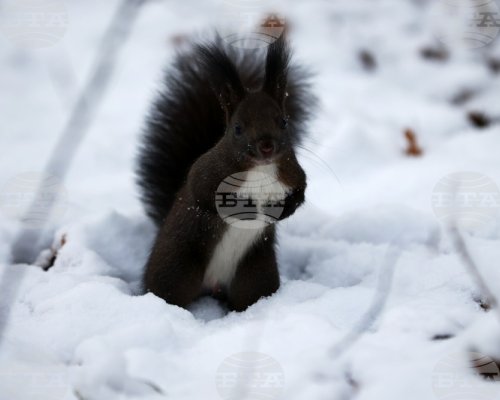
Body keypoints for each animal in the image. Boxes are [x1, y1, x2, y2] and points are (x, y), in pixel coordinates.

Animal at [136, 34, 316, 310]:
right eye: (238, 128)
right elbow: (204, 195)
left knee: (248, 297)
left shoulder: (293, 173)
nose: (267, 146)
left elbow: (301, 192)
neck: (261, 168)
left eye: (284, 122)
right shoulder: (205, 173)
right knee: (167, 293)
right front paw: (249, 208)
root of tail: (213, 284)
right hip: (176, 269)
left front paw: (281, 210)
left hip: (255, 275)